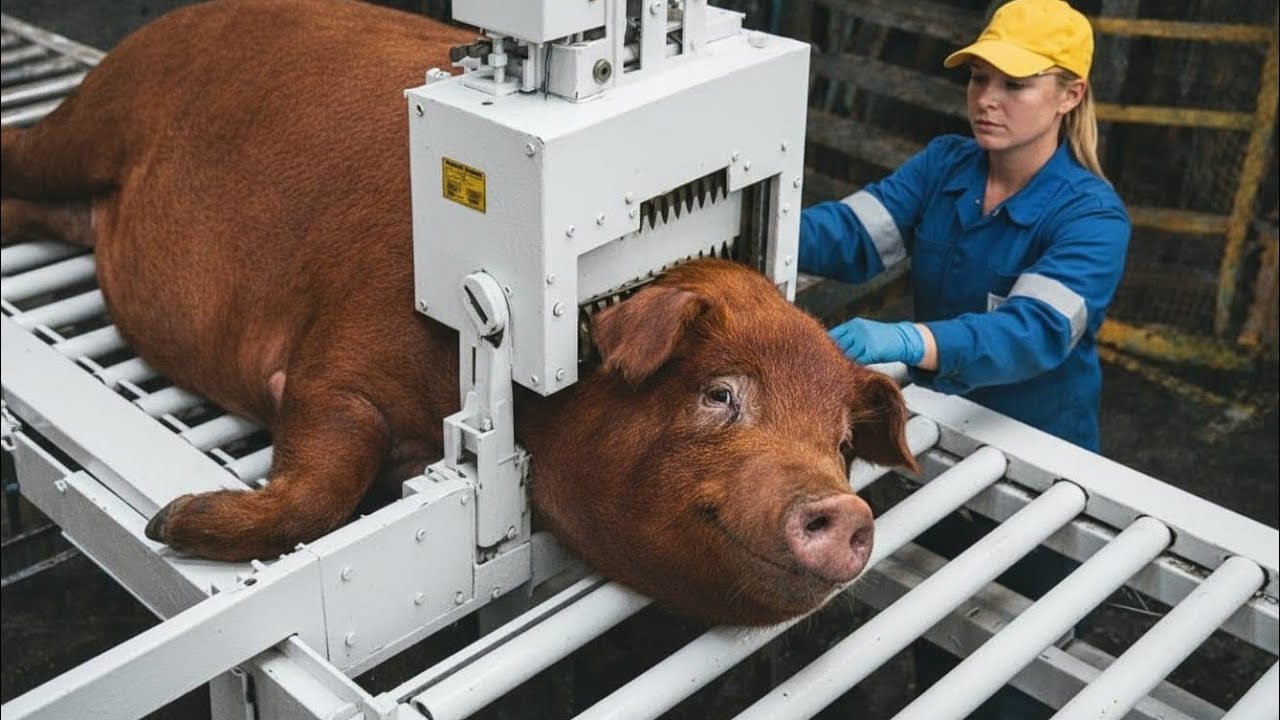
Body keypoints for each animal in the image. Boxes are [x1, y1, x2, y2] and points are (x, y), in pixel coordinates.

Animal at [0, 0, 916, 626]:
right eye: (720, 394)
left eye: (841, 443)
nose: (847, 510)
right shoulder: (338, 351)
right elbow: (324, 475)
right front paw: (172, 523)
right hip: (94, 116)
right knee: (25, 150)